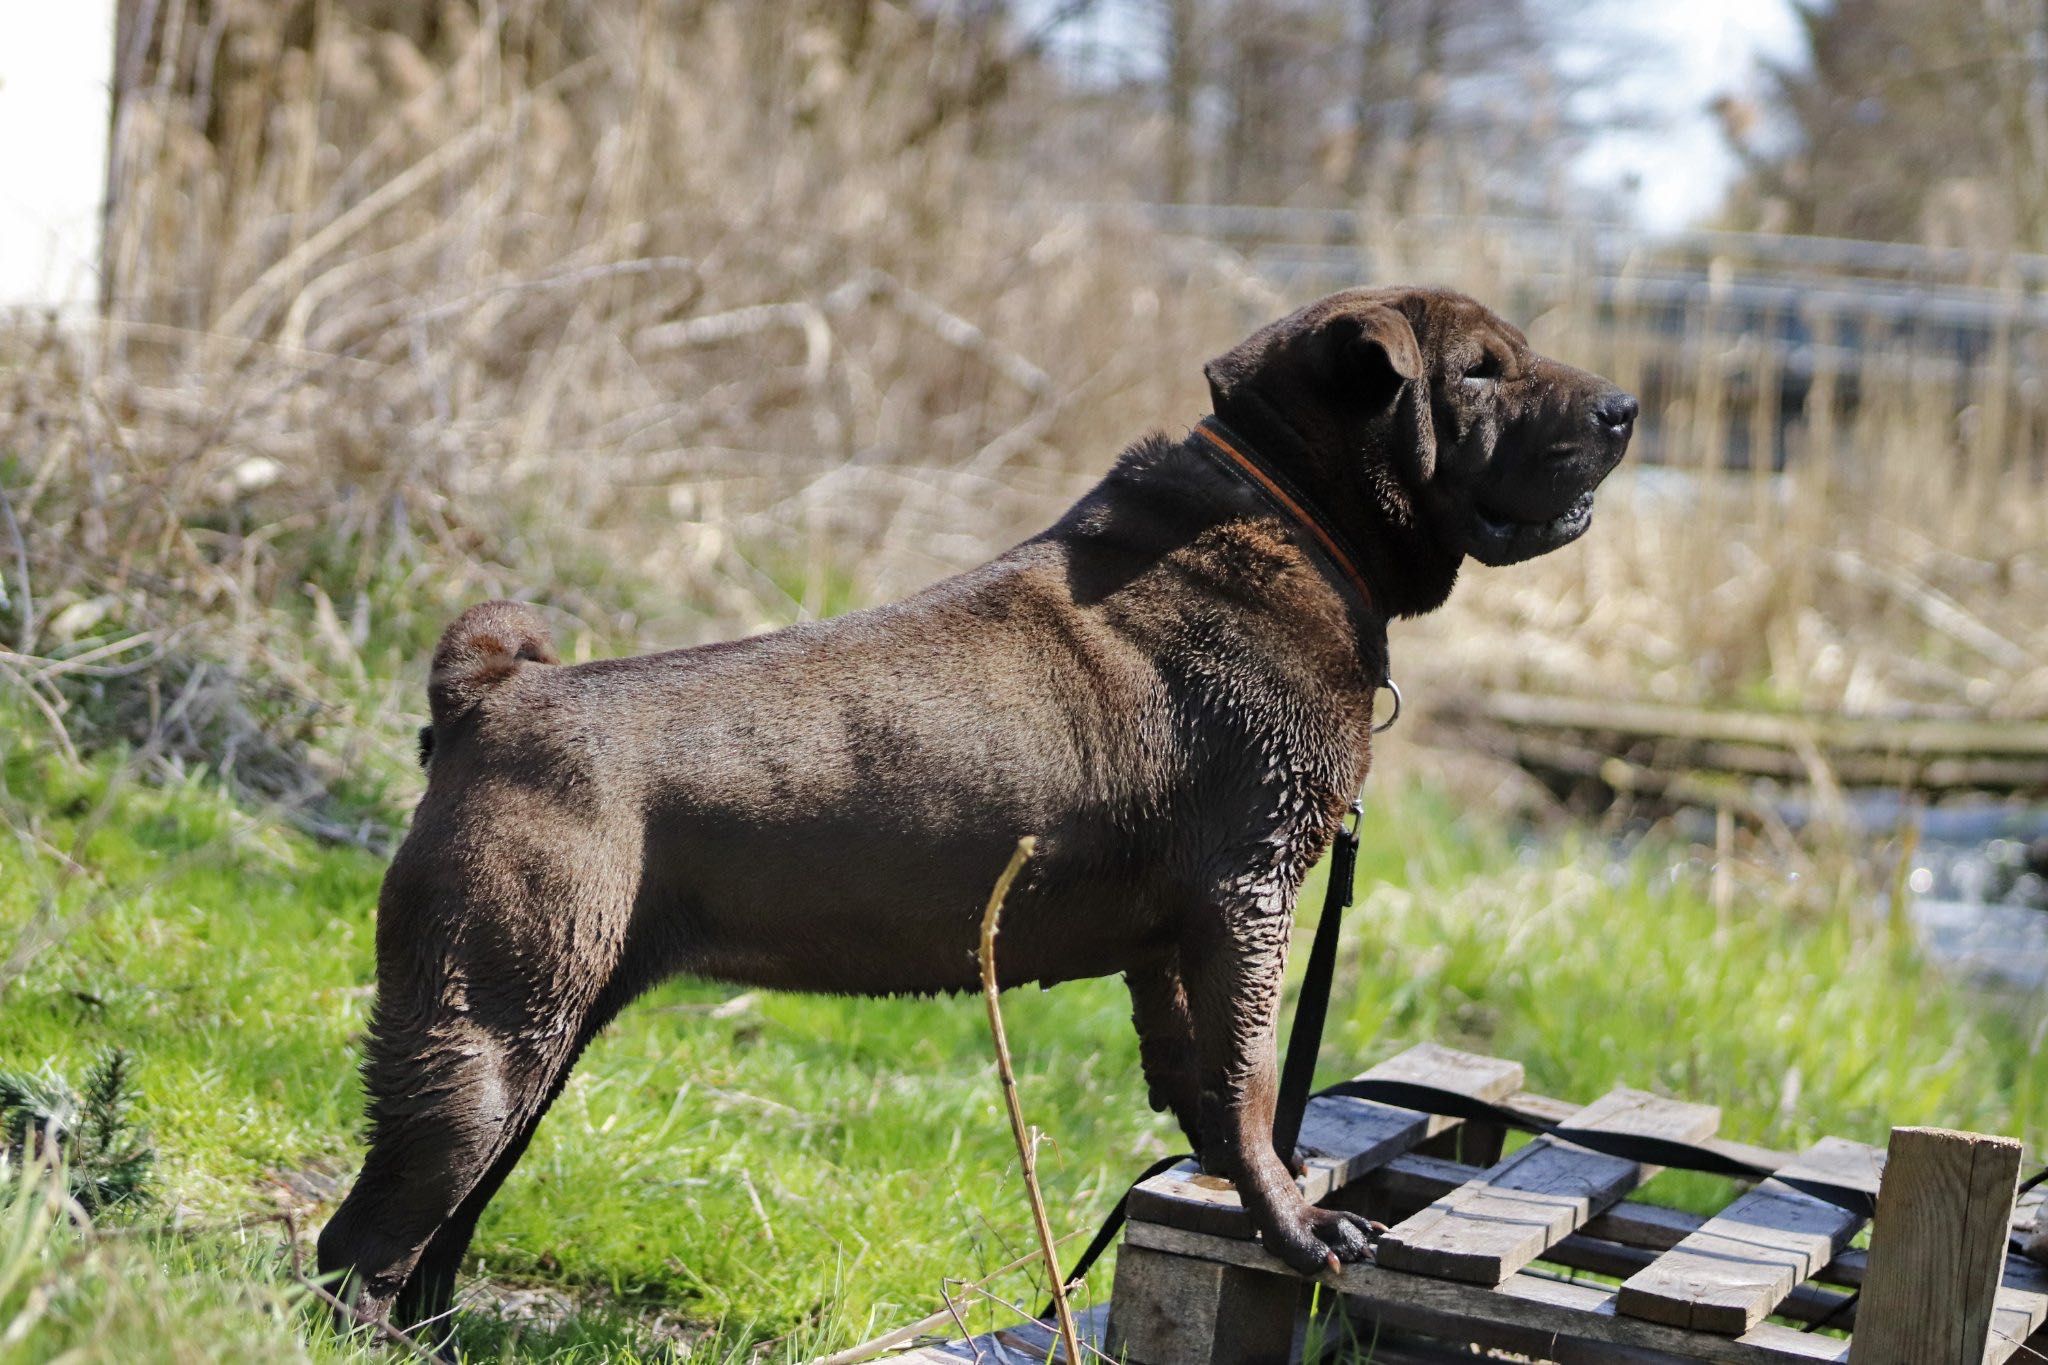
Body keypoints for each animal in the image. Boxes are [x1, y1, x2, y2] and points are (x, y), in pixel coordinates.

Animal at [315, 282, 1630, 1326]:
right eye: (1479, 371)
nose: (1620, 409)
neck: (1288, 517)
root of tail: (489, 699)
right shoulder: (1248, 897)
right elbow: (1251, 1078)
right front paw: (1295, 1228)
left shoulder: (1175, 940)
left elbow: (1200, 1079)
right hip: (485, 1032)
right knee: (367, 1239)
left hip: (548, 1028)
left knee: (437, 1231)